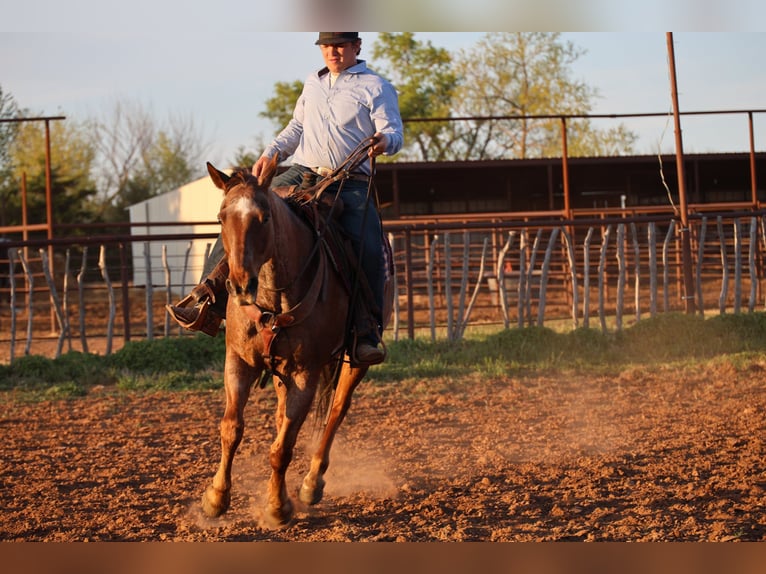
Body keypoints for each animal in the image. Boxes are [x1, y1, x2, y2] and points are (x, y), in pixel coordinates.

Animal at [199, 157, 391, 528]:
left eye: (264, 218)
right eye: (221, 217)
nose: (240, 286)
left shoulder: (306, 372)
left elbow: (283, 447)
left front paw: (278, 507)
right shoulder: (239, 362)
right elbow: (231, 429)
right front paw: (215, 499)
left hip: (355, 362)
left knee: (336, 411)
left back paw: (311, 484)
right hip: (279, 371)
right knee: (281, 416)